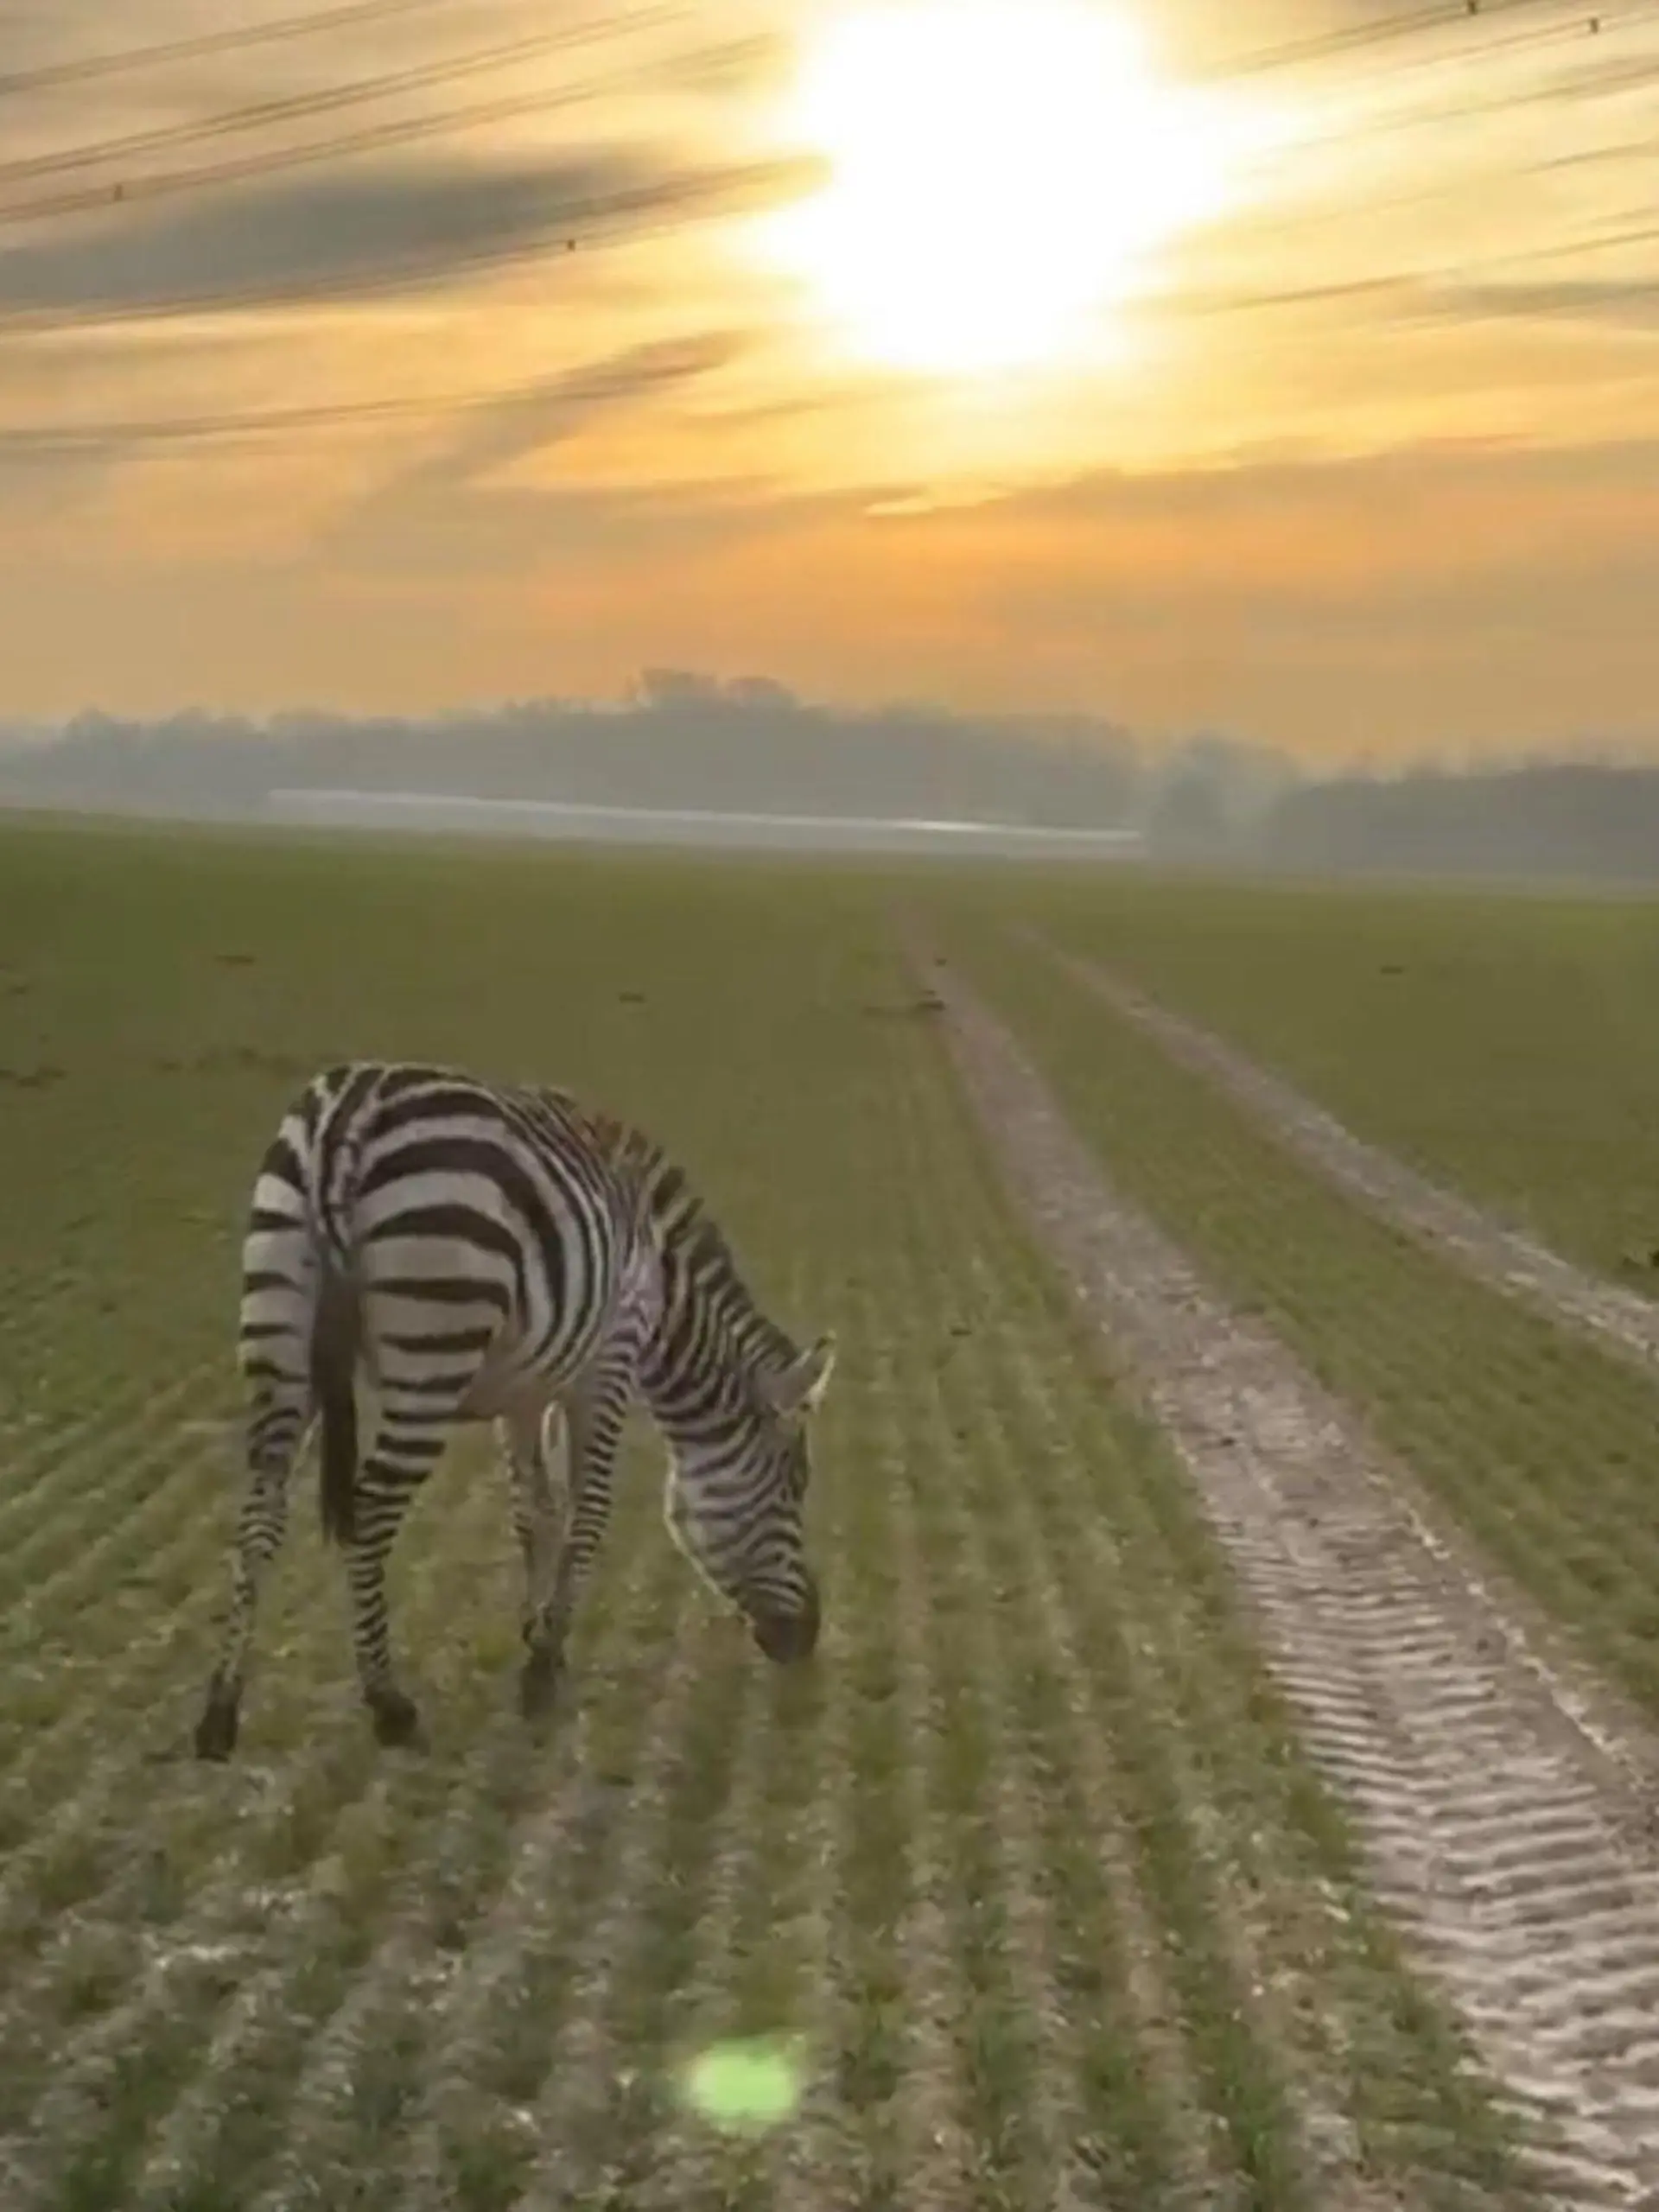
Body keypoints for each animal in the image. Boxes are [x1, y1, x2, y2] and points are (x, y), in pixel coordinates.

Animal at [193, 1059, 836, 1759]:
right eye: (795, 1487)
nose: (808, 1636)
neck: (664, 1288)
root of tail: (347, 1113)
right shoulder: (610, 1359)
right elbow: (588, 1511)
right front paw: (545, 1664)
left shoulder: (528, 1390)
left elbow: (534, 1511)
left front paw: (536, 1630)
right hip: (432, 1352)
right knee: (370, 1509)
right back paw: (388, 1702)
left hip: (282, 1336)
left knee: (262, 1509)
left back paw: (220, 1709)